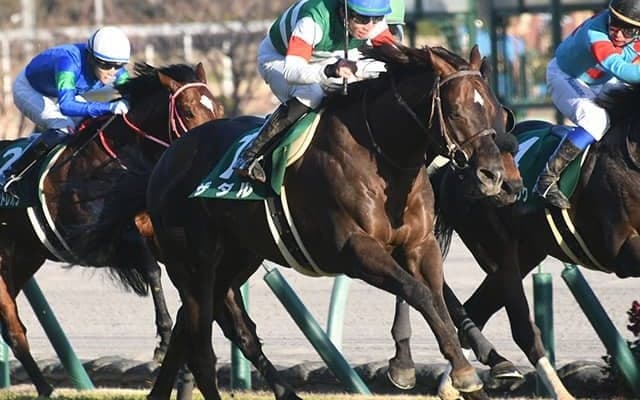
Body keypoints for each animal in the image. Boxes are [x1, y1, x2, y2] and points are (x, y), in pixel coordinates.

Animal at [0, 62, 221, 397]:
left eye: (217, 106)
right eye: (187, 110)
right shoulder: (93, 240)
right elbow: (151, 268)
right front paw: (164, 336)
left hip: (24, 257)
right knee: (14, 330)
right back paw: (47, 389)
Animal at [143, 43, 511, 400]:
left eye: (497, 110)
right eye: (456, 111)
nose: (493, 175)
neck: (382, 156)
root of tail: (169, 155)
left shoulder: (420, 245)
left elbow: (439, 303)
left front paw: (470, 378)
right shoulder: (354, 250)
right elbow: (417, 292)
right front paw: (462, 374)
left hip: (237, 258)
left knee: (206, 325)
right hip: (193, 262)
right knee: (201, 346)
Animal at [422, 82, 640, 400]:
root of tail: (451, 173)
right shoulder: (619, 249)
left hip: (526, 253)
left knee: (476, 310)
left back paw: (456, 384)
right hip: (497, 254)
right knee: (522, 330)